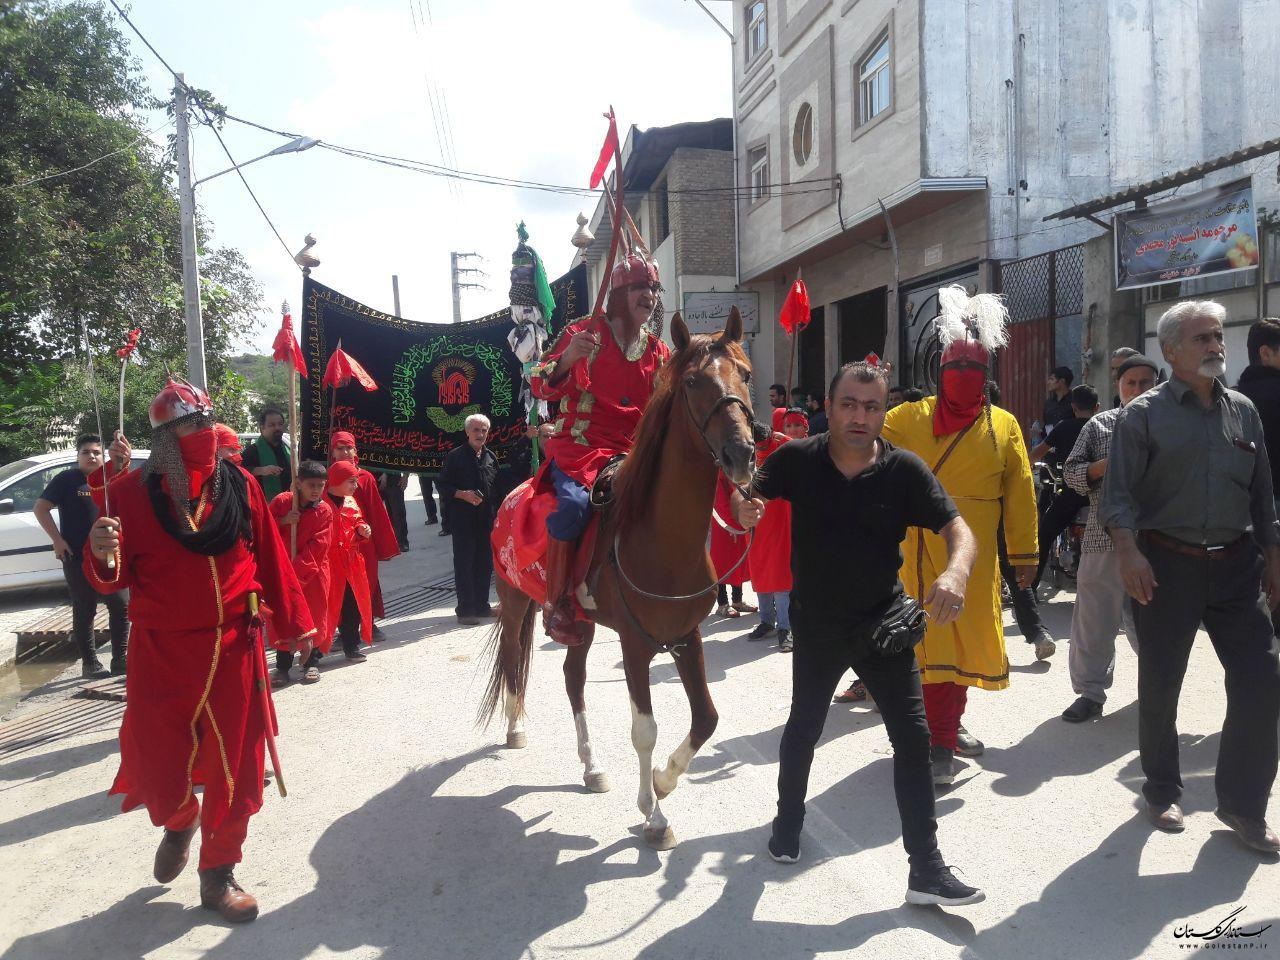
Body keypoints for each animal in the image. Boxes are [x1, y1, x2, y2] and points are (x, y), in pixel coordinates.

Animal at [481, 308, 757, 849]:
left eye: (746, 375)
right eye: (692, 382)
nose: (742, 454)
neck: (661, 535)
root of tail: (512, 493)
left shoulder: (687, 636)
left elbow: (707, 718)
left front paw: (665, 781)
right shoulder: (634, 644)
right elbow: (644, 730)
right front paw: (654, 814)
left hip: (582, 624)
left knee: (574, 679)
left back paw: (591, 768)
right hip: (516, 599)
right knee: (513, 658)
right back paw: (515, 728)